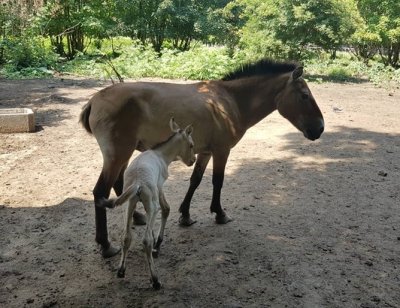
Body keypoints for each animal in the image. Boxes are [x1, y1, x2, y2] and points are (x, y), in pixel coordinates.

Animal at [79, 59, 324, 256]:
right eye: (304, 96)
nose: (320, 128)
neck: (230, 101)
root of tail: (94, 100)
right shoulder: (222, 151)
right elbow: (218, 181)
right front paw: (219, 213)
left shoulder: (205, 152)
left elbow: (195, 181)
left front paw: (185, 215)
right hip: (117, 155)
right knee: (100, 192)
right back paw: (105, 245)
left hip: (123, 155)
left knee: (121, 185)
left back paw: (138, 216)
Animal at [98, 118, 195, 288]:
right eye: (191, 145)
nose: (193, 161)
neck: (160, 155)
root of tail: (138, 182)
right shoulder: (160, 186)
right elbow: (166, 209)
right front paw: (158, 244)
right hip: (151, 206)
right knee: (146, 240)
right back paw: (155, 280)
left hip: (128, 205)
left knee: (126, 237)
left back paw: (121, 271)